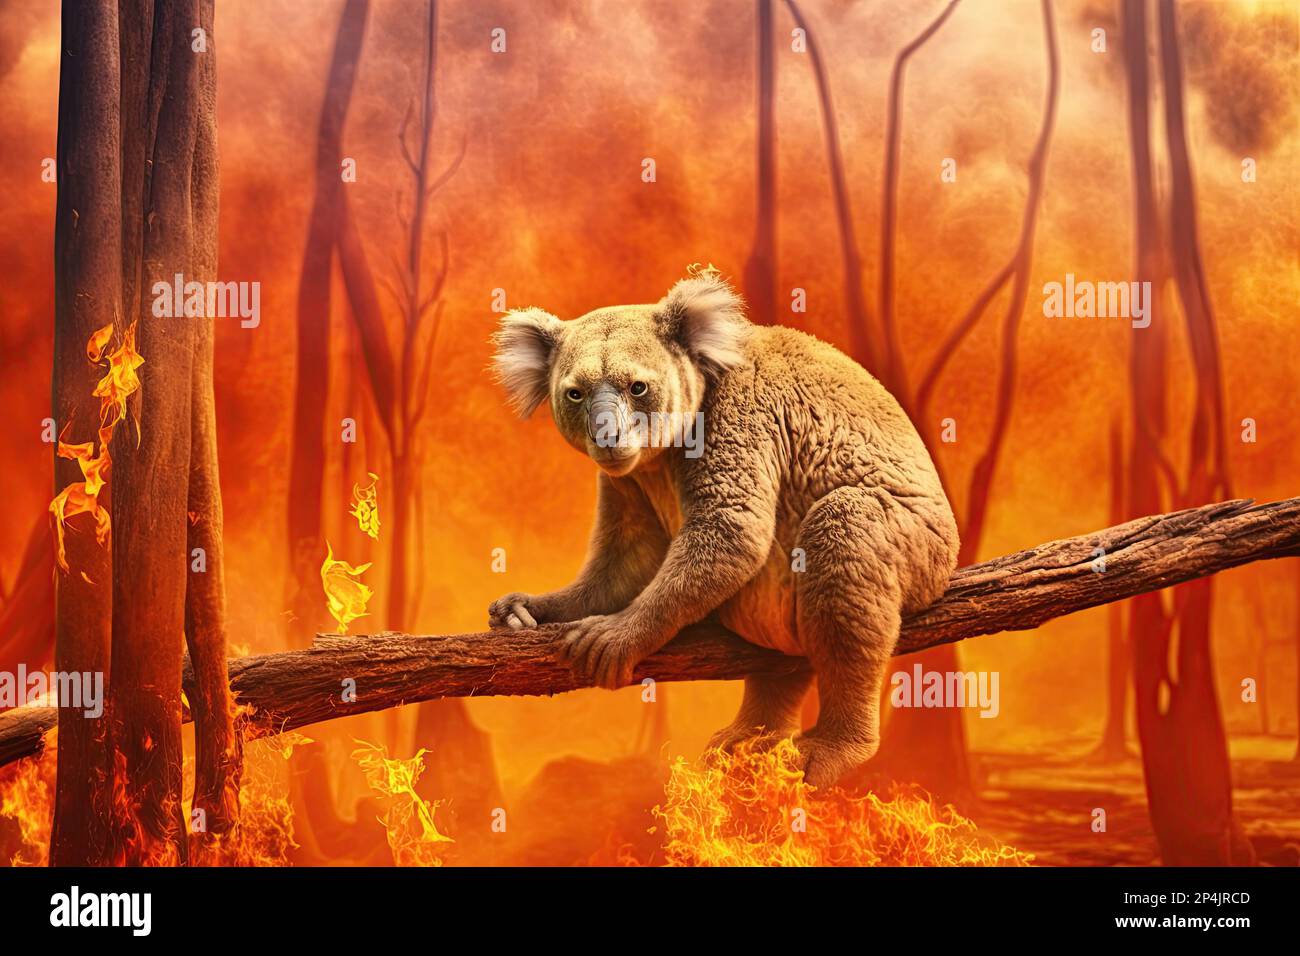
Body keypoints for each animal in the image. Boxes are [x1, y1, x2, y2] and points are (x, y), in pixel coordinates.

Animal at [488, 271, 960, 788]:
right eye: (574, 394)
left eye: (638, 387)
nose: (607, 437)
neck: (660, 460)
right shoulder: (626, 484)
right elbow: (622, 570)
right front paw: (525, 610)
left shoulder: (741, 416)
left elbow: (731, 532)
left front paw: (614, 637)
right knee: (787, 667)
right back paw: (747, 740)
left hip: (905, 543)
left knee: (846, 560)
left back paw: (829, 748)